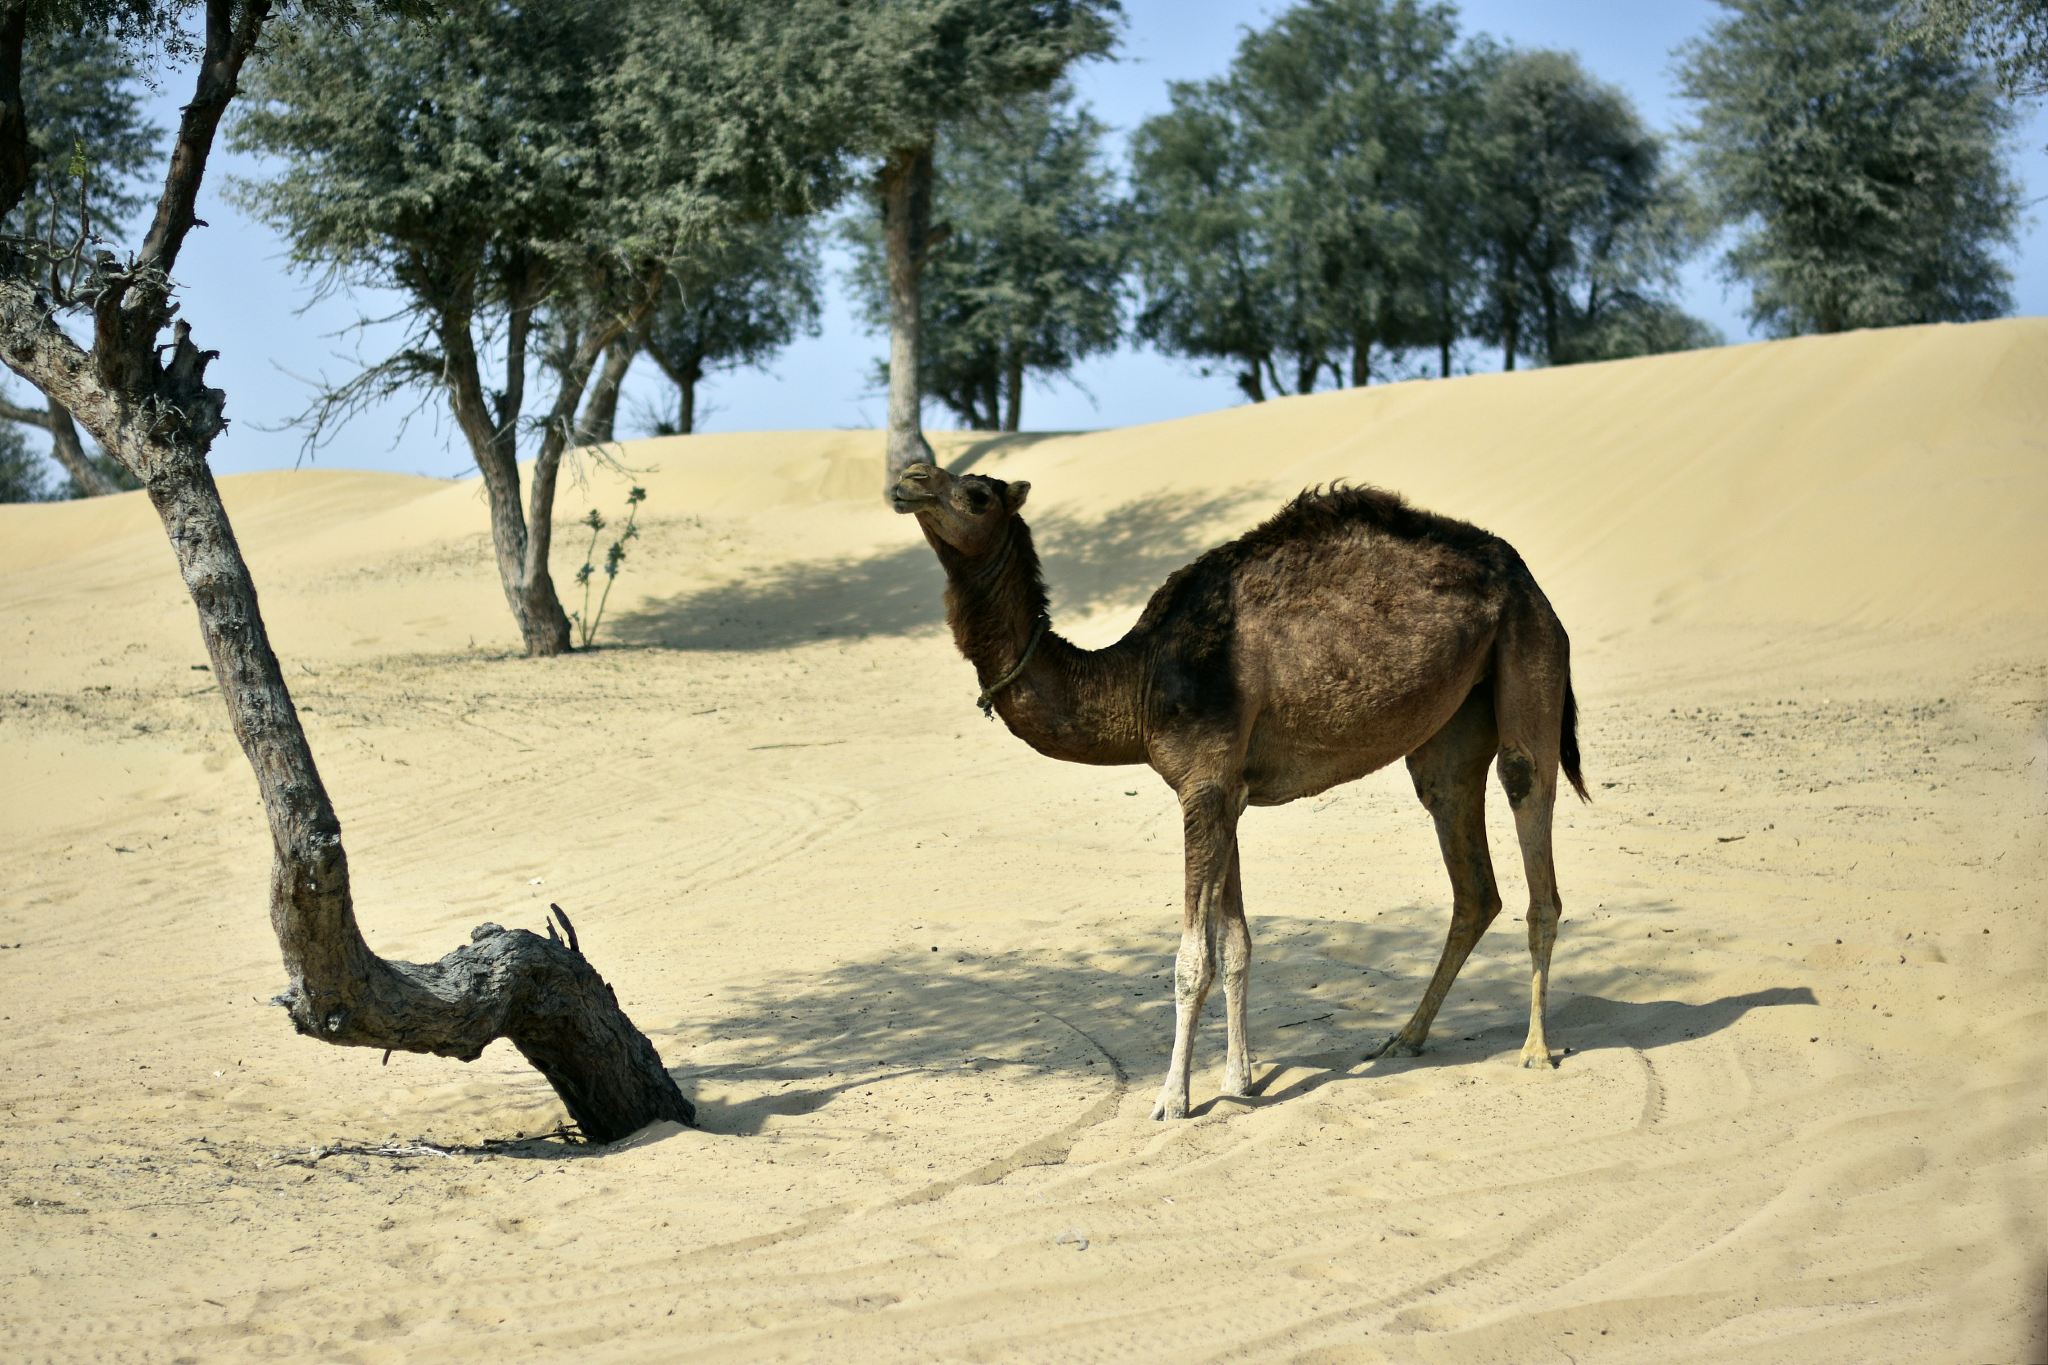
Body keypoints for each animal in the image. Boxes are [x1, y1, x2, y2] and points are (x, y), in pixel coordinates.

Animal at [891, 461, 1590, 1120]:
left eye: (977, 494)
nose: (908, 479)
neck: (1136, 680)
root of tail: (1525, 576)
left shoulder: (1202, 785)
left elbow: (1190, 960)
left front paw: (1173, 1100)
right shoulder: (1225, 791)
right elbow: (1235, 946)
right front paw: (1238, 1082)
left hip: (1528, 645)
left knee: (1529, 809)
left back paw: (1534, 1048)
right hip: (1452, 725)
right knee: (1470, 875)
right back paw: (1405, 1038)